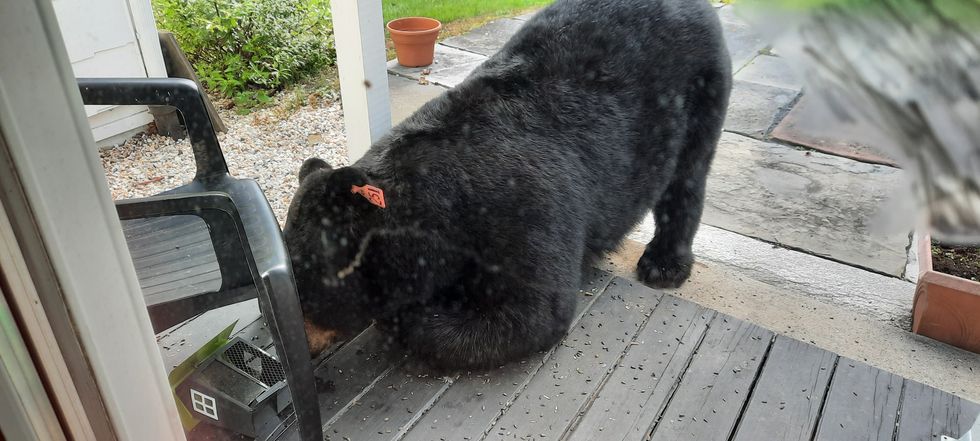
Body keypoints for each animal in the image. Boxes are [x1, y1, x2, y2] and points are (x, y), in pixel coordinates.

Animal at [283, 0, 731, 370]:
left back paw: (664, 264)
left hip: (703, 84)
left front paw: (410, 315)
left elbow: (532, 313)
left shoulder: (525, 207)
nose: (300, 349)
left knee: (687, 175)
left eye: (305, 289)